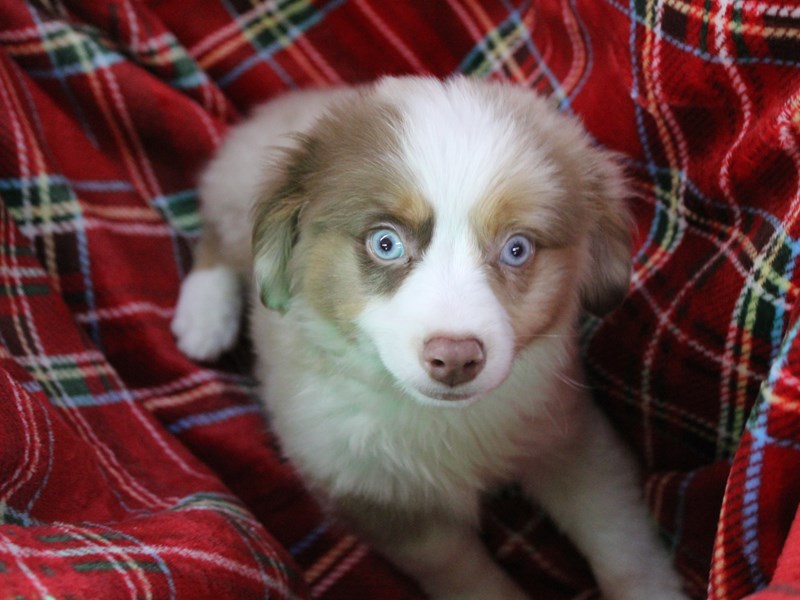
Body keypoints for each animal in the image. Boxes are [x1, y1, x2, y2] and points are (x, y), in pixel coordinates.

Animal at [175, 76, 688, 600]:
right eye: (386, 243)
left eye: (517, 249)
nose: (456, 359)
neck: (442, 421)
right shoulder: (374, 496)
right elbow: (464, 573)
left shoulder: (569, 436)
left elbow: (620, 541)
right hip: (237, 192)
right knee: (215, 237)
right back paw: (203, 320)